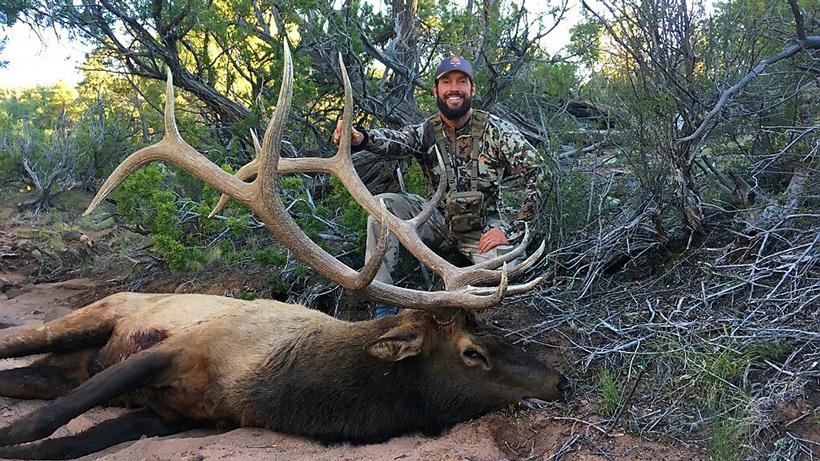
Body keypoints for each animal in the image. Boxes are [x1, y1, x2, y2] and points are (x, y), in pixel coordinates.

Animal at [0, 42, 570, 460]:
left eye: (500, 334)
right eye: (473, 352)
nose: (560, 380)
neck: (267, 388)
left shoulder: (169, 415)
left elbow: (55, 440)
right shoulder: (170, 350)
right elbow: (38, 424)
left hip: (64, 364)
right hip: (98, 312)